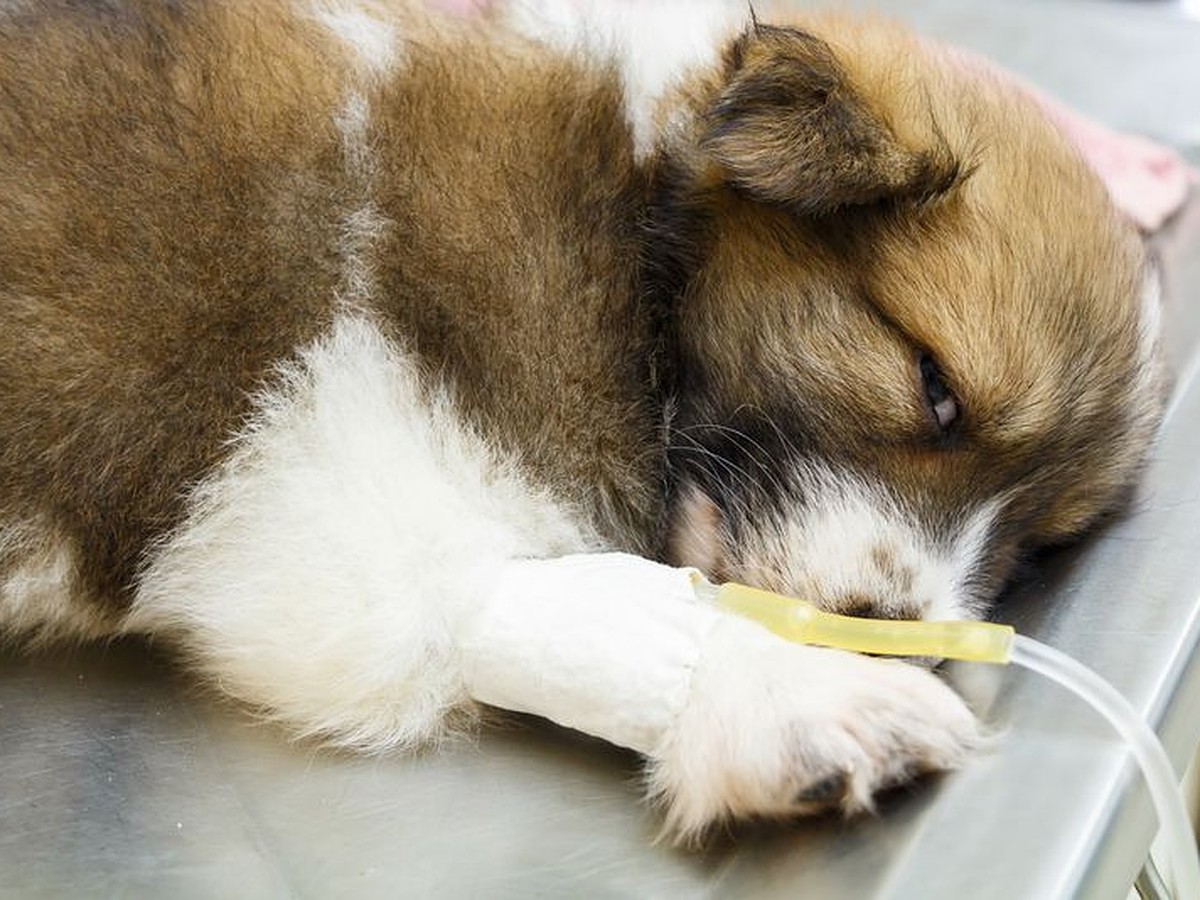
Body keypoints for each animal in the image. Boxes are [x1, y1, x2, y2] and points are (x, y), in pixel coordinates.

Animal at [0, 1, 1161, 844]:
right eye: (933, 385)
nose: (894, 631)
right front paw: (776, 687)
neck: (633, 241)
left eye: (1036, 542)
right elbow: (576, 599)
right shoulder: (305, 482)